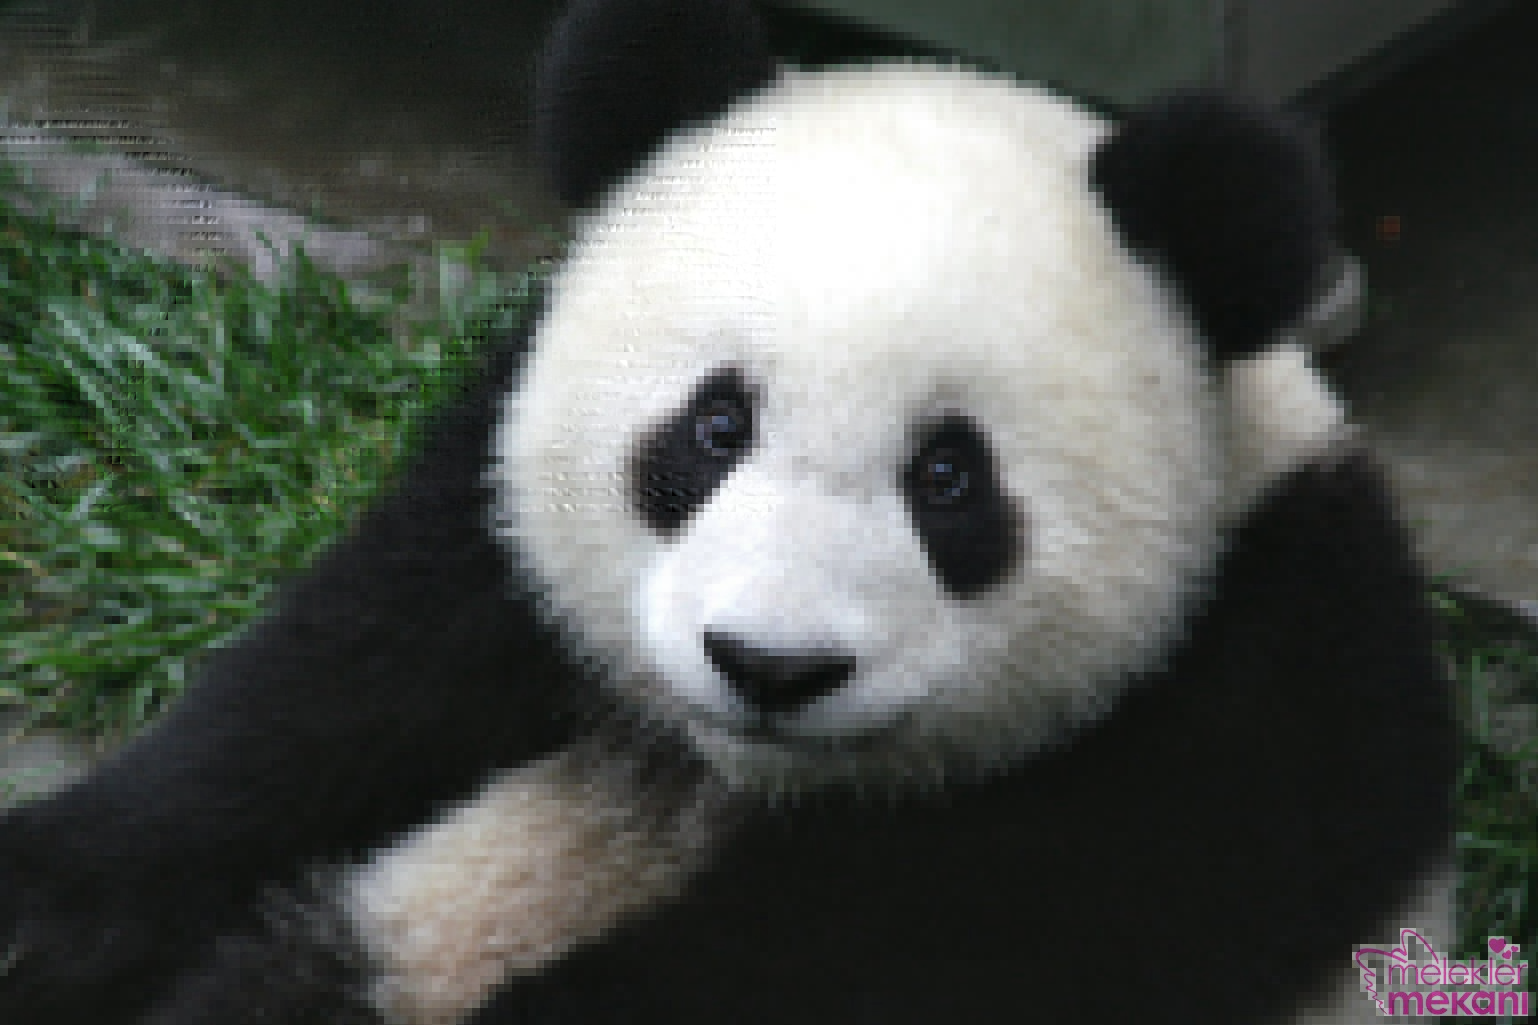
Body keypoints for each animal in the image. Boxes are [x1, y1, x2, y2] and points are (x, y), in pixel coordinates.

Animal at [0, 0, 1458, 1022]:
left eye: (947, 479)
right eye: (713, 429)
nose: (770, 665)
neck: (739, 777)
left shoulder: (1251, 705)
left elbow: (906, 951)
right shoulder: (489, 527)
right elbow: (321, 696)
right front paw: (43, 909)